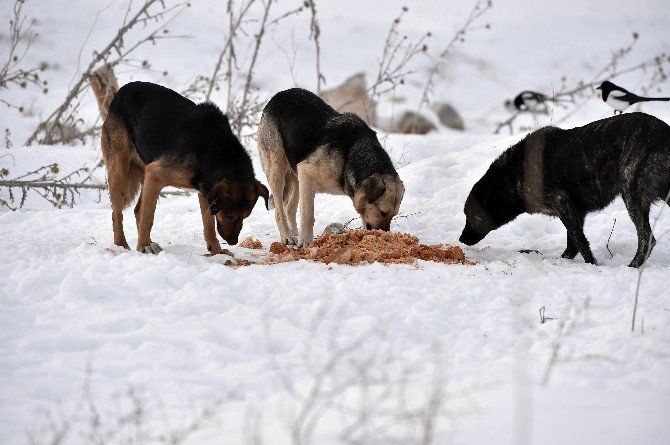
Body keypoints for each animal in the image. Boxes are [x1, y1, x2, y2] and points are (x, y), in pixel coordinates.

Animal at [101, 80, 270, 253]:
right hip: (120, 171)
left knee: (137, 210)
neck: (218, 154)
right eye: (229, 215)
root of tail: (122, 90)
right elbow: (147, 217)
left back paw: (148, 242)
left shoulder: (205, 191)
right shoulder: (155, 174)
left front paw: (216, 251)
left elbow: (209, 225)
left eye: (245, 216)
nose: (232, 241)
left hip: (144, 173)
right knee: (118, 213)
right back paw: (122, 244)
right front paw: (143, 246)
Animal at [258, 86, 404, 246]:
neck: (350, 156)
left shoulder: (303, 178)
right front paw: (305, 242)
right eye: (383, 212)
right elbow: (308, 215)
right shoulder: (306, 173)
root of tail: (279, 95)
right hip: (277, 169)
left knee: (289, 208)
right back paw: (287, 236)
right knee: (279, 211)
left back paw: (295, 234)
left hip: (295, 175)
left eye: (393, 214)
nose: (385, 235)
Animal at [462, 112, 670, 268]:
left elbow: (579, 241)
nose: (461, 239)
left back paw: (632, 266)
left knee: (646, 238)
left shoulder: (562, 204)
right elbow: (572, 243)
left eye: (471, 215)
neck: (512, 175)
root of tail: (664, 134)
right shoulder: (576, 211)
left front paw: (592, 265)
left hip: (632, 195)